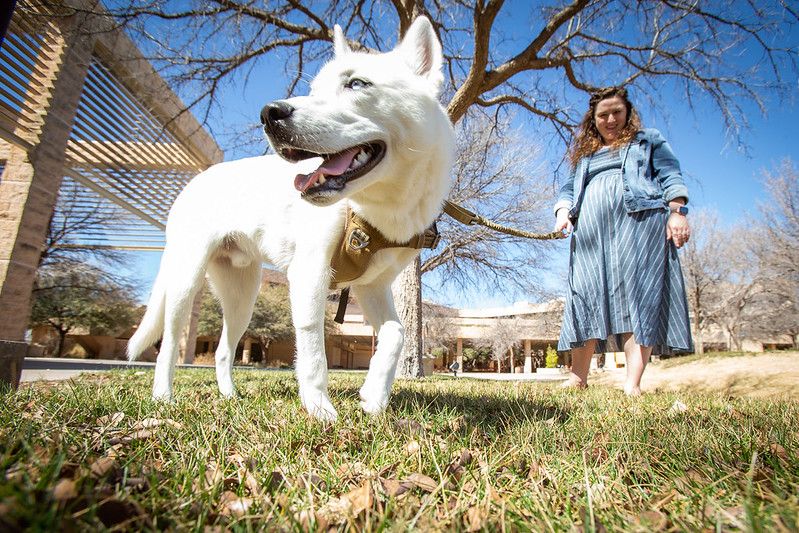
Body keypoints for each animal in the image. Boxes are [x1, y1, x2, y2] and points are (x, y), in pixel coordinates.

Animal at [126, 16, 456, 420]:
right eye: (313, 90)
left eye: (356, 84)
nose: (269, 114)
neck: (379, 207)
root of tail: (198, 178)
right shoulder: (309, 273)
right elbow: (314, 351)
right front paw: (320, 409)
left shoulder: (372, 287)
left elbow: (396, 334)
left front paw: (374, 396)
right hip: (186, 282)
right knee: (170, 343)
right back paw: (163, 397)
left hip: (242, 294)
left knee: (222, 349)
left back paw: (229, 397)